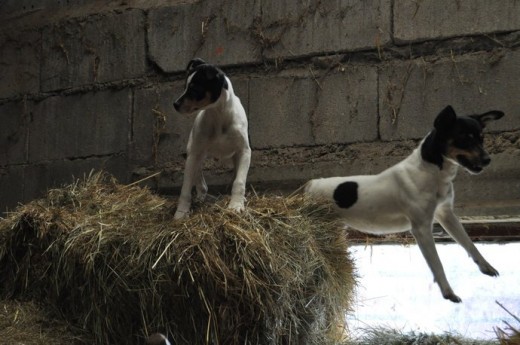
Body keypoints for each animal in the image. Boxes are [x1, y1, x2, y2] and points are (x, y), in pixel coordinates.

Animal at [173, 56, 252, 218]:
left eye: (195, 89)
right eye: (185, 87)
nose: (175, 104)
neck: (218, 116)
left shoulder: (245, 151)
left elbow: (239, 181)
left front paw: (236, 205)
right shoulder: (195, 153)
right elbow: (185, 188)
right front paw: (181, 213)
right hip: (193, 153)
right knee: (198, 175)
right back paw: (201, 194)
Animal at [304, 105, 504, 300]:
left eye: (482, 139)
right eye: (464, 139)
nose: (488, 160)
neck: (430, 172)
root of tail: (309, 185)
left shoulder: (446, 214)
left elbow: (469, 244)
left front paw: (486, 267)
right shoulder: (421, 228)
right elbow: (437, 264)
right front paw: (448, 292)